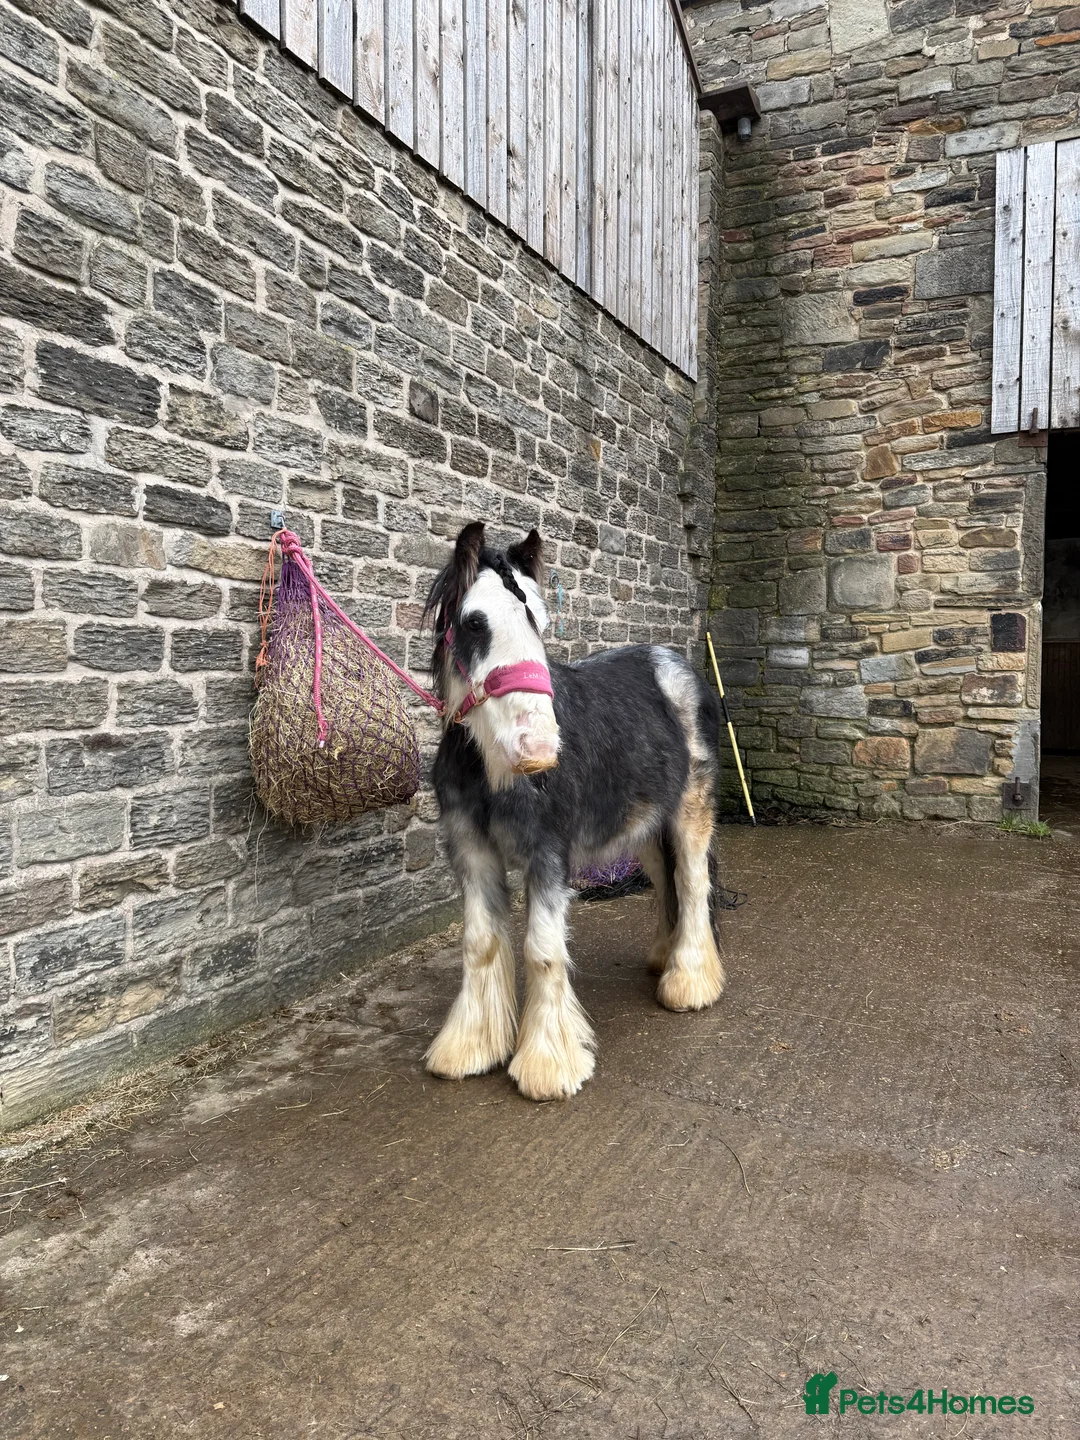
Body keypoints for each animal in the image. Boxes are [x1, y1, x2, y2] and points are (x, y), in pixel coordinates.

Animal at [422, 521, 725, 1101]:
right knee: (665, 881)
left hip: (689, 810)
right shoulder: (473, 853)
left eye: (538, 623)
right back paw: (663, 958)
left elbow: (542, 948)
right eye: (474, 623)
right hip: (644, 828)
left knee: (693, 880)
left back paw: (689, 982)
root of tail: (675, 664)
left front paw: (548, 1064)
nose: (538, 750)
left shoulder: (548, 855)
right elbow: (480, 943)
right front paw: (470, 1048)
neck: (489, 771)